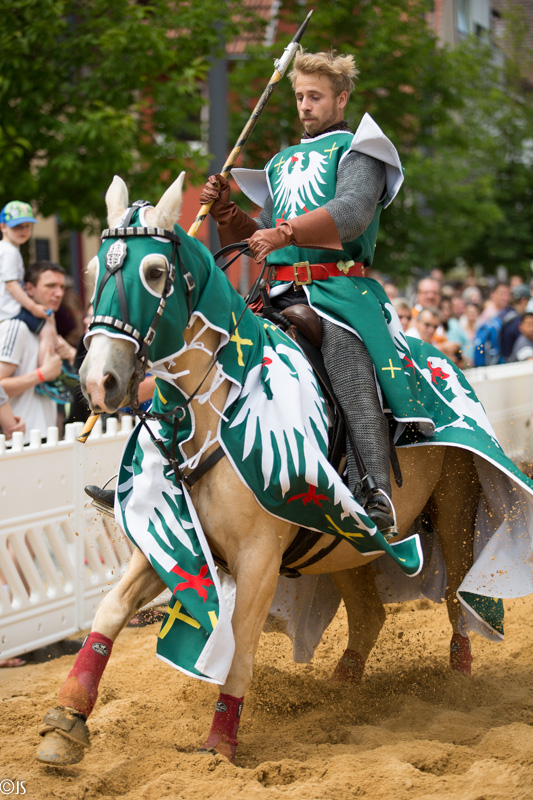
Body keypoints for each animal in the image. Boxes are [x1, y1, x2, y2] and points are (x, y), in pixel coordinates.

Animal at [35, 177, 486, 768]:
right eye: (91, 274)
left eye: (154, 271)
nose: (96, 381)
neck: (213, 412)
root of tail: (449, 357)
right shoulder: (169, 542)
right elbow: (109, 612)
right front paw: (66, 721)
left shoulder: (258, 557)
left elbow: (241, 646)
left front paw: (218, 746)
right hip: (342, 542)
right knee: (369, 616)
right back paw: (341, 696)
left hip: (454, 507)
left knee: (457, 597)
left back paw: (459, 684)